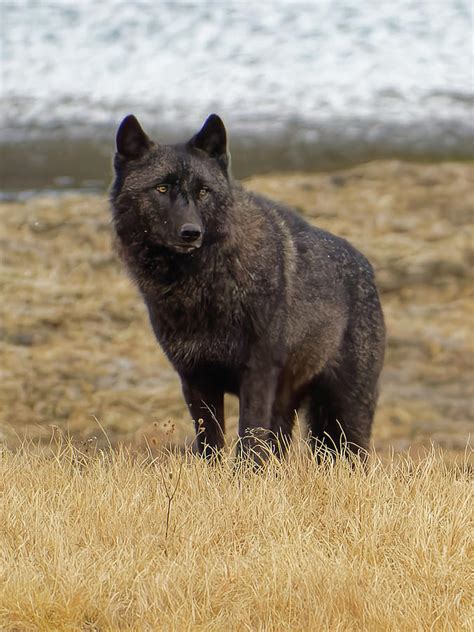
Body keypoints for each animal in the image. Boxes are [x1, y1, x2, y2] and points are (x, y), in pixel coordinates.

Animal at [110, 112, 386, 460]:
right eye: (161, 188)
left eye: (203, 191)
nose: (191, 232)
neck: (202, 284)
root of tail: (367, 267)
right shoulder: (195, 379)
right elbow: (211, 444)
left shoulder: (256, 375)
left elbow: (248, 442)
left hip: (345, 415)